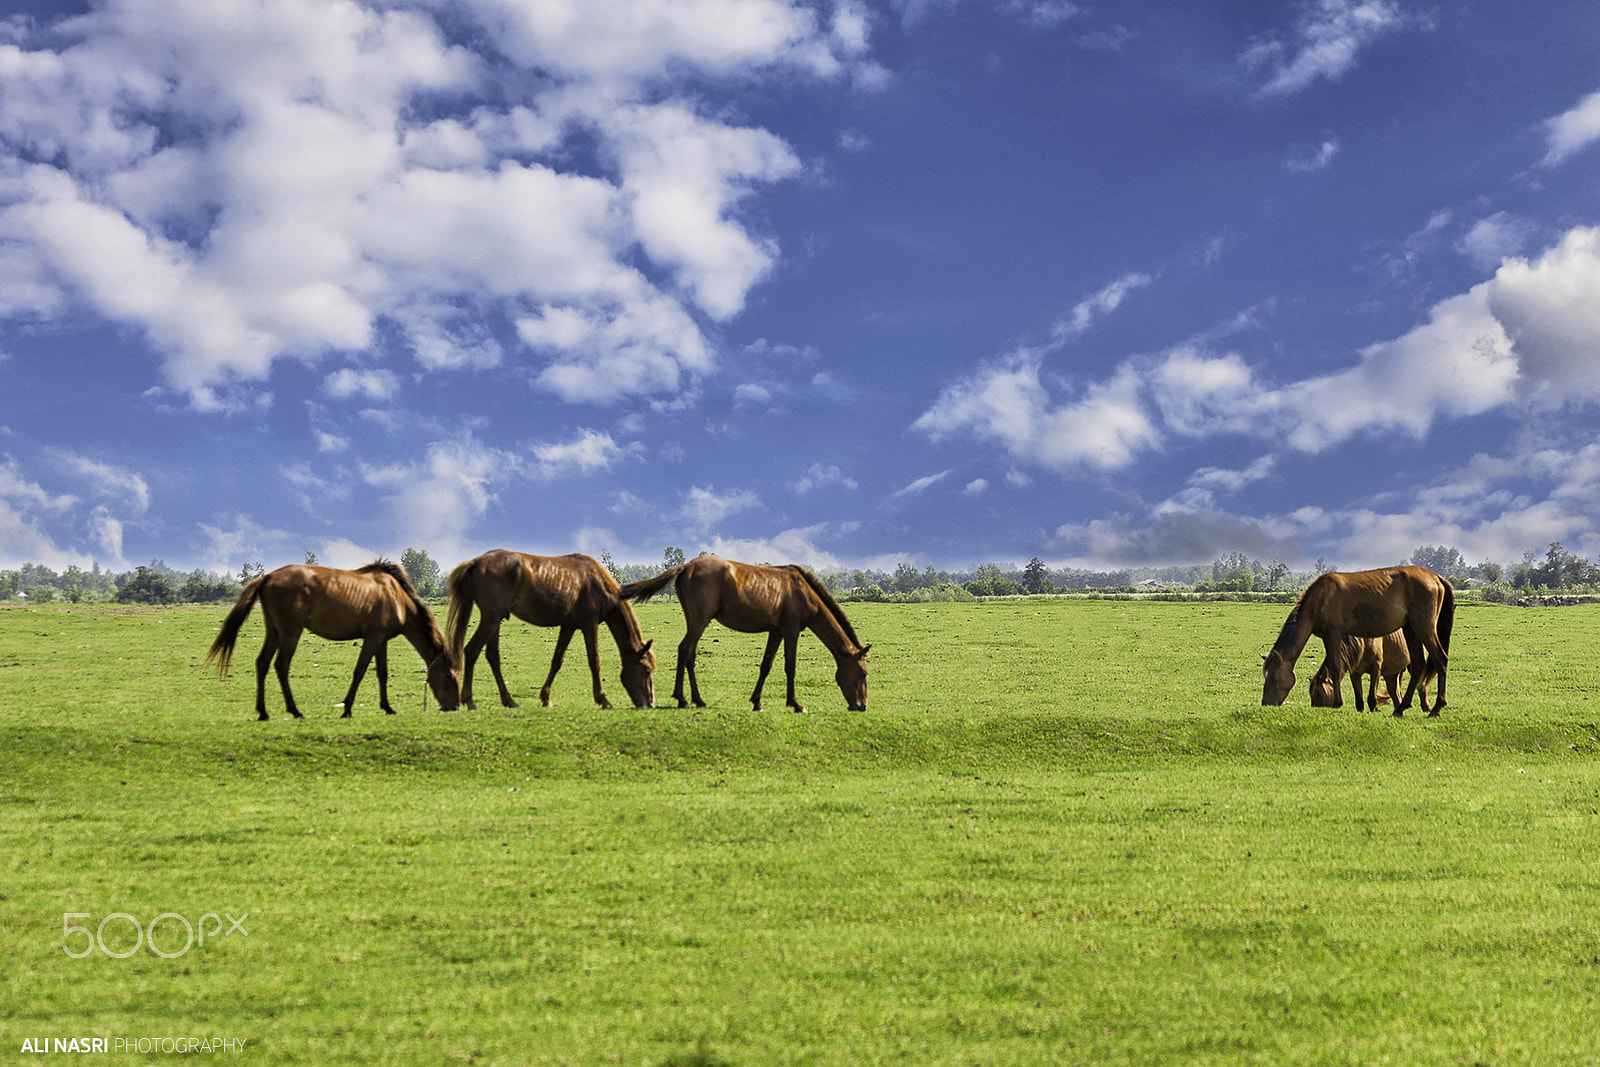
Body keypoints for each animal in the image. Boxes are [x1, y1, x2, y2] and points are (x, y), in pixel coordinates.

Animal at [206, 560, 460, 721]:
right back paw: (295, 710)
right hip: (290, 632)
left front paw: (387, 707)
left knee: (262, 663)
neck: (397, 598)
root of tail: (267, 577)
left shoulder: (382, 640)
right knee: (281, 665)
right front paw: (347, 708)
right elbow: (360, 670)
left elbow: (382, 672)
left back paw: (263, 712)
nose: (454, 707)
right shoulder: (373, 637)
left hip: (274, 631)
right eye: (449, 677)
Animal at [444, 550, 654, 710]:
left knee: (492, 656)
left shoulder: (569, 626)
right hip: (491, 618)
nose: (649, 704)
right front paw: (603, 700)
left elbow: (557, 660)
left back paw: (509, 700)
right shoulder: (589, 624)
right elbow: (594, 661)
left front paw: (546, 697)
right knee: (472, 650)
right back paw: (469, 701)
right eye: (646, 669)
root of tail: (475, 562)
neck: (595, 581)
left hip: (494, 621)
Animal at [617, 556, 869, 712]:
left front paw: (757, 702)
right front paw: (796, 704)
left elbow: (766, 665)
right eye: (864, 673)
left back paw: (698, 700)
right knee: (684, 649)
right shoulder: (791, 630)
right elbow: (790, 667)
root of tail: (686, 566)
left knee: (690, 654)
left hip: (695, 620)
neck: (803, 591)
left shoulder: (776, 631)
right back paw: (682, 700)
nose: (862, 705)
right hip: (700, 619)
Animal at [1262, 565, 1452, 716]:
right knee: (1418, 666)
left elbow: (1336, 667)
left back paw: (1437, 708)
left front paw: (1338, 703)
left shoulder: (1333, 634)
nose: (1266, 704)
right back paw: (1401, 708)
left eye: (1272, 677)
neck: (1319, 600)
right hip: (1410, 630)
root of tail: (1436, 577)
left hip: (1424, 629)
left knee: (1440, 660)